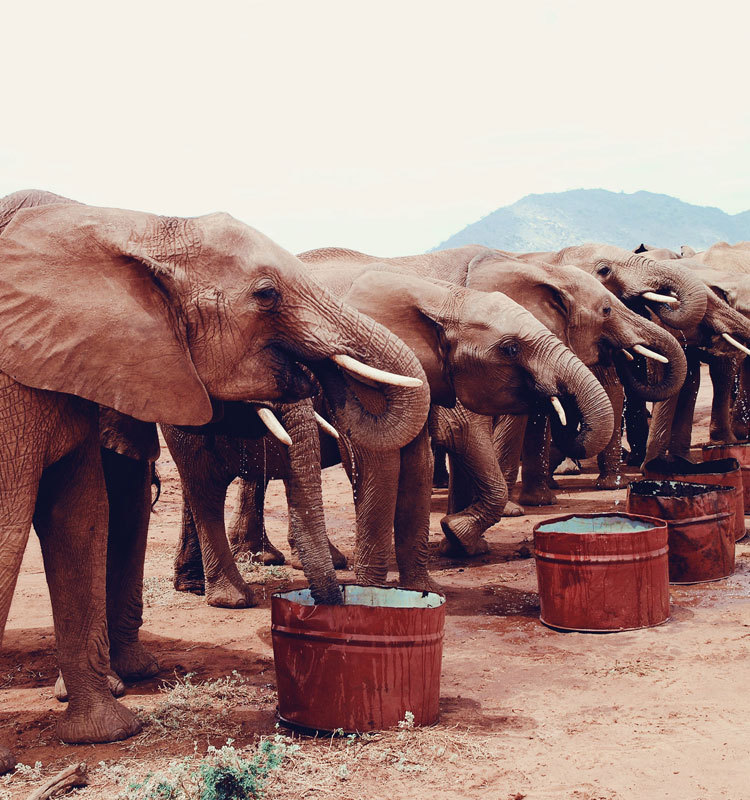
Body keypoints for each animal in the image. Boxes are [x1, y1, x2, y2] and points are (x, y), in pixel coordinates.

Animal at [167, 265, 615, 589]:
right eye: (510, 348)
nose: (569, 420)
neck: (439, 296)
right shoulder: (369, 381)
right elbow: (379, 464)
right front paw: (374, 590)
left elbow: (417, 467)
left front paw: (425, 587)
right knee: (203, 484)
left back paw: (196, 584)